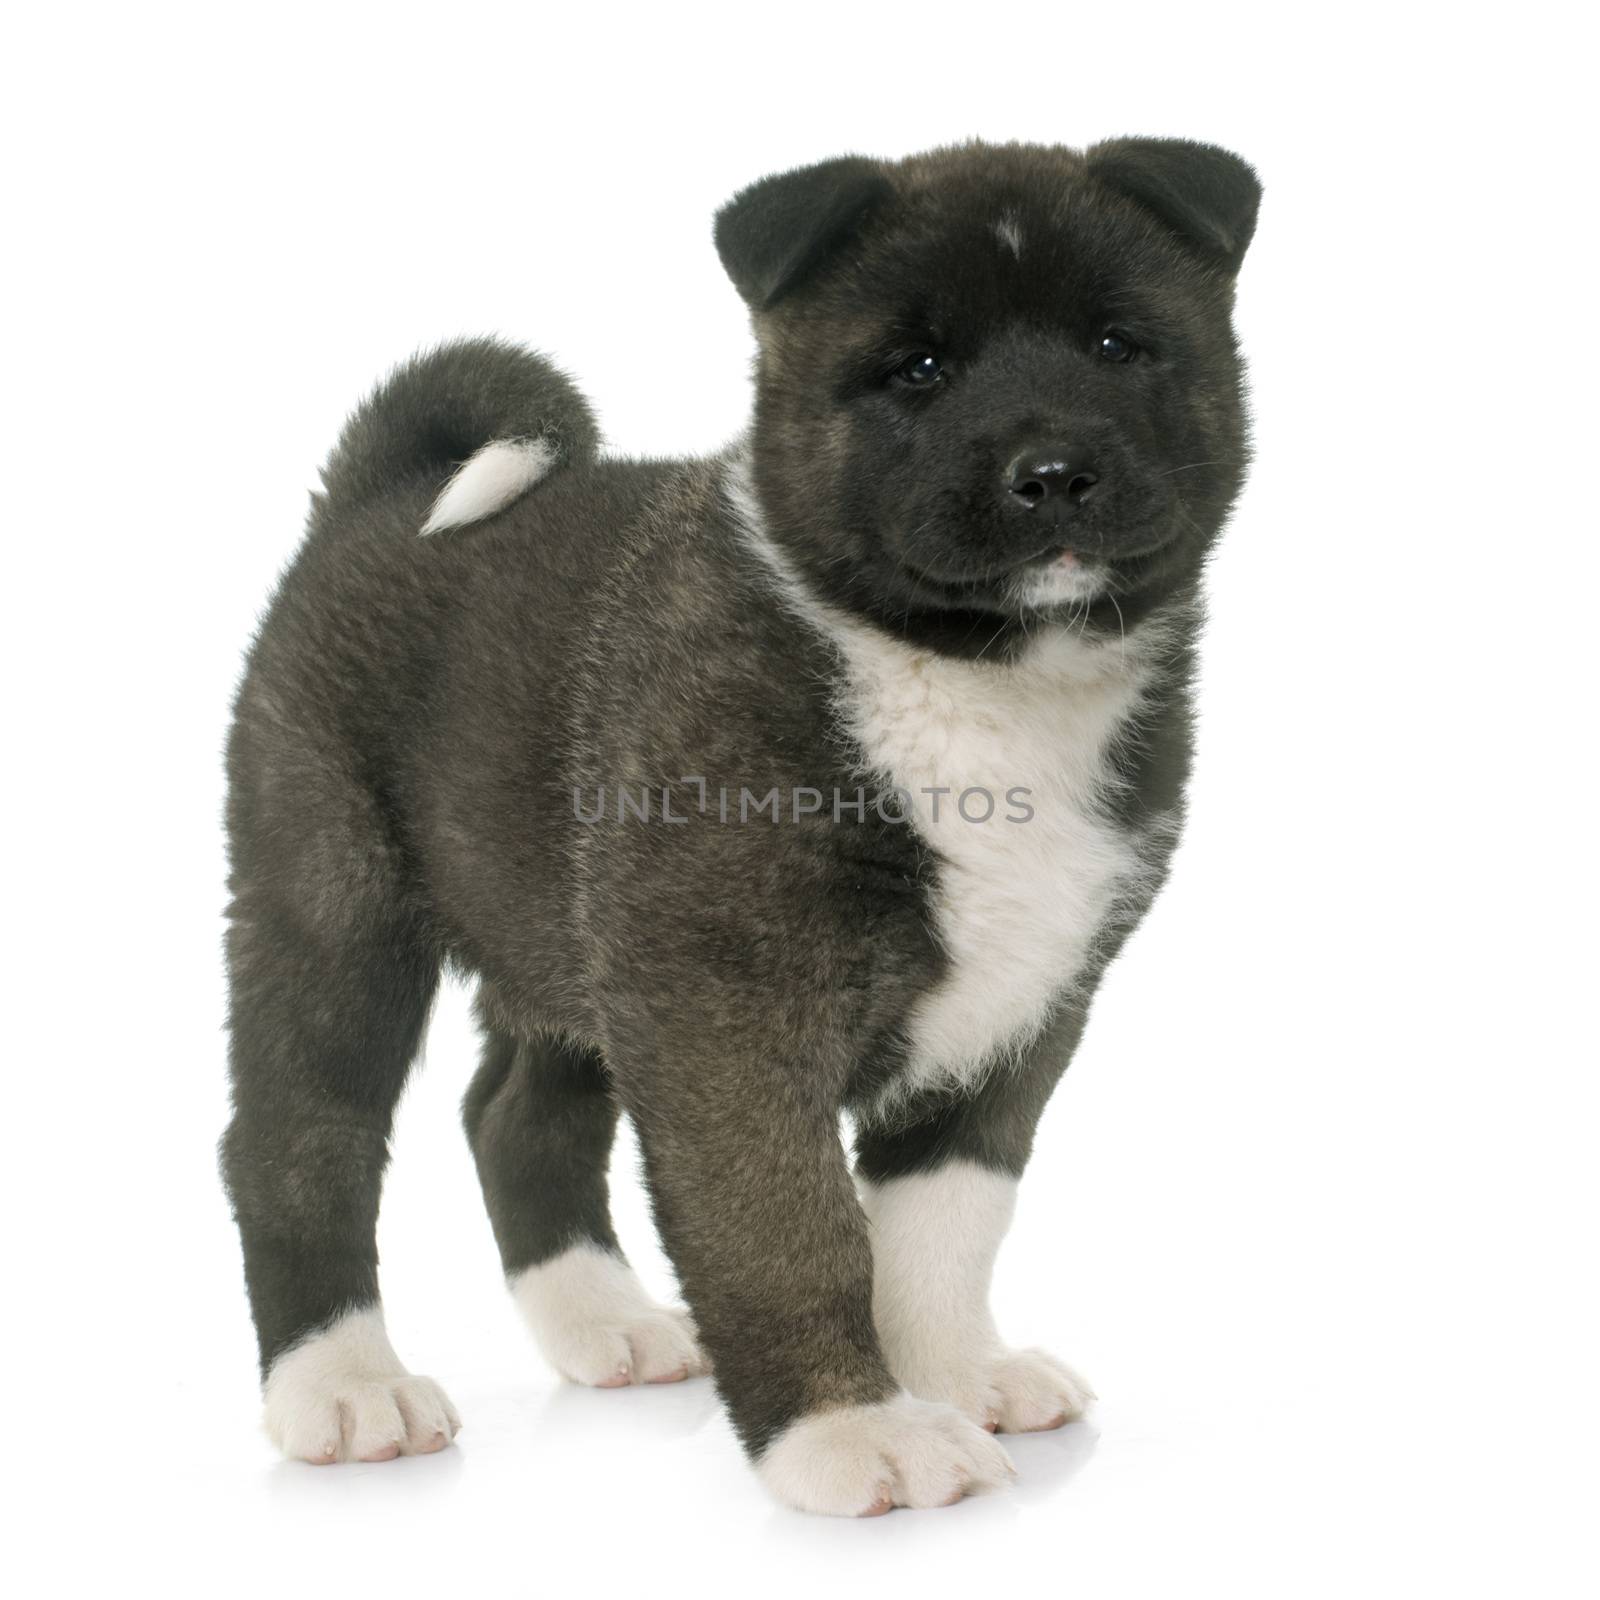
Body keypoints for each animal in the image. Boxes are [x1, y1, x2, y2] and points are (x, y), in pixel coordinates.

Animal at [219, 137, 1254, 1510]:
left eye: (1116, 344)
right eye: (915, 368)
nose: (1051, 475)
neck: (967, 672)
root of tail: (377, 498)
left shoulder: (1027, 999)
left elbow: (941, 1222)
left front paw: (950, 1373)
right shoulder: (728, 1013)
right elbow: (787, 1230)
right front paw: (850, 1429)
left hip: (557, 926)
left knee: (515, 1114)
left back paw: (601, 1322)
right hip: (330, 895)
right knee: (299, 1135)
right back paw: (340, 1385)